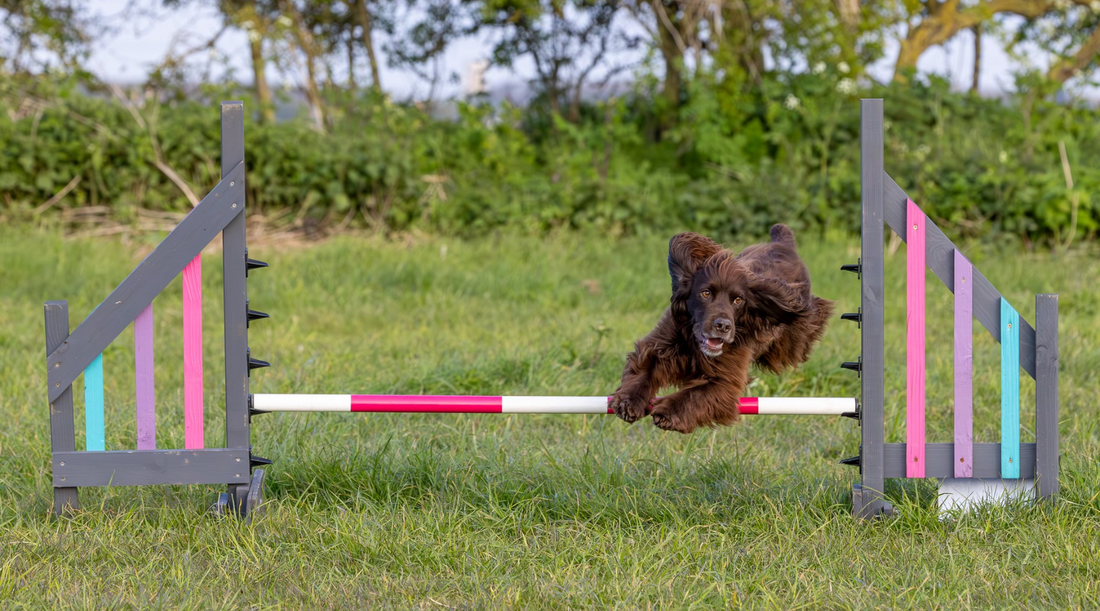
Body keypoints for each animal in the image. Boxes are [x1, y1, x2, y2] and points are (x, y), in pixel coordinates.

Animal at [611, 225, 831, 435]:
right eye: (706, 293)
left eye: (738, 300)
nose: (723, 326)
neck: (695, 344)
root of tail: (783, 242)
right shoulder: (661, 344)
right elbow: (644, 369)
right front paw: (629, 401)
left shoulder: (725, 380)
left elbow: (696, 393)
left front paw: (668, 413)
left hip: (788, 344)